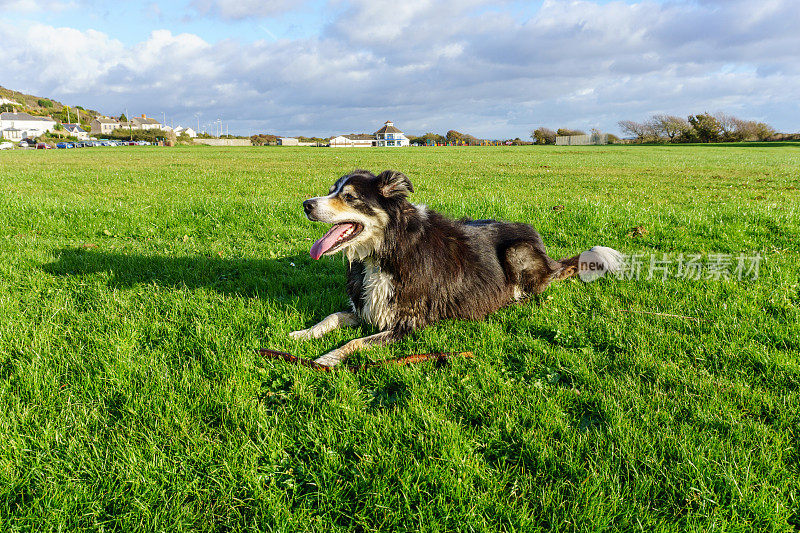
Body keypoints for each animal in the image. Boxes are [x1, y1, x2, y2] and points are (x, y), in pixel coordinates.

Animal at [290, 170, 620, 366]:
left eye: (349, 197)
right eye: (331, 191)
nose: (306, 204)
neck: (387, 250)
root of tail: (550, 260)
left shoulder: (408, 323)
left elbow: (356, 342)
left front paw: (328, 358)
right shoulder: (368, 307)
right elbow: (333, 317)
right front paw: (303, 334)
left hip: (518, 251)